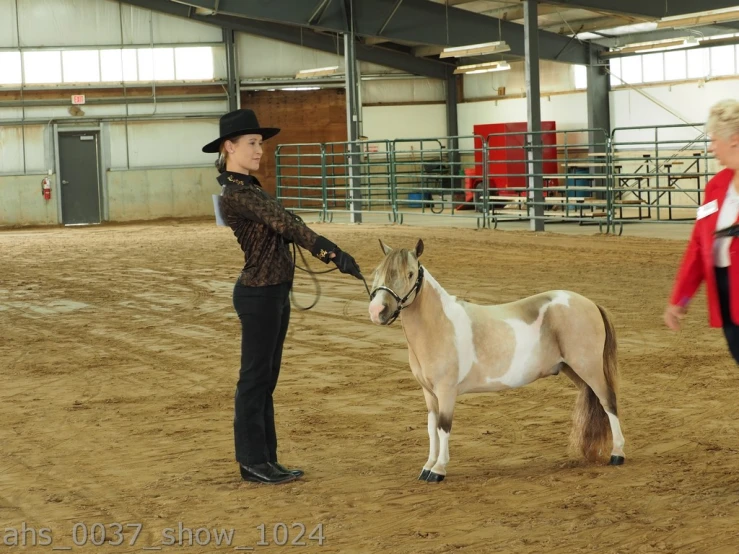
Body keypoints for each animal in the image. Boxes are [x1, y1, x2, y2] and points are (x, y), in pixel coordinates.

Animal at [368, 239, 624, 480]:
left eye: (410, 273)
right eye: (377, 271)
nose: (377, 310)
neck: (439, 324)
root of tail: (590, 303)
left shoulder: (446, 391)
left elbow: (444, 427)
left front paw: (438, 470)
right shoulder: (429, 393)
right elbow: (432, 428)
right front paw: (427, 467)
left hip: (589, 368)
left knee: (608, 401)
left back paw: (617, 455)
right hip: (574, 370)